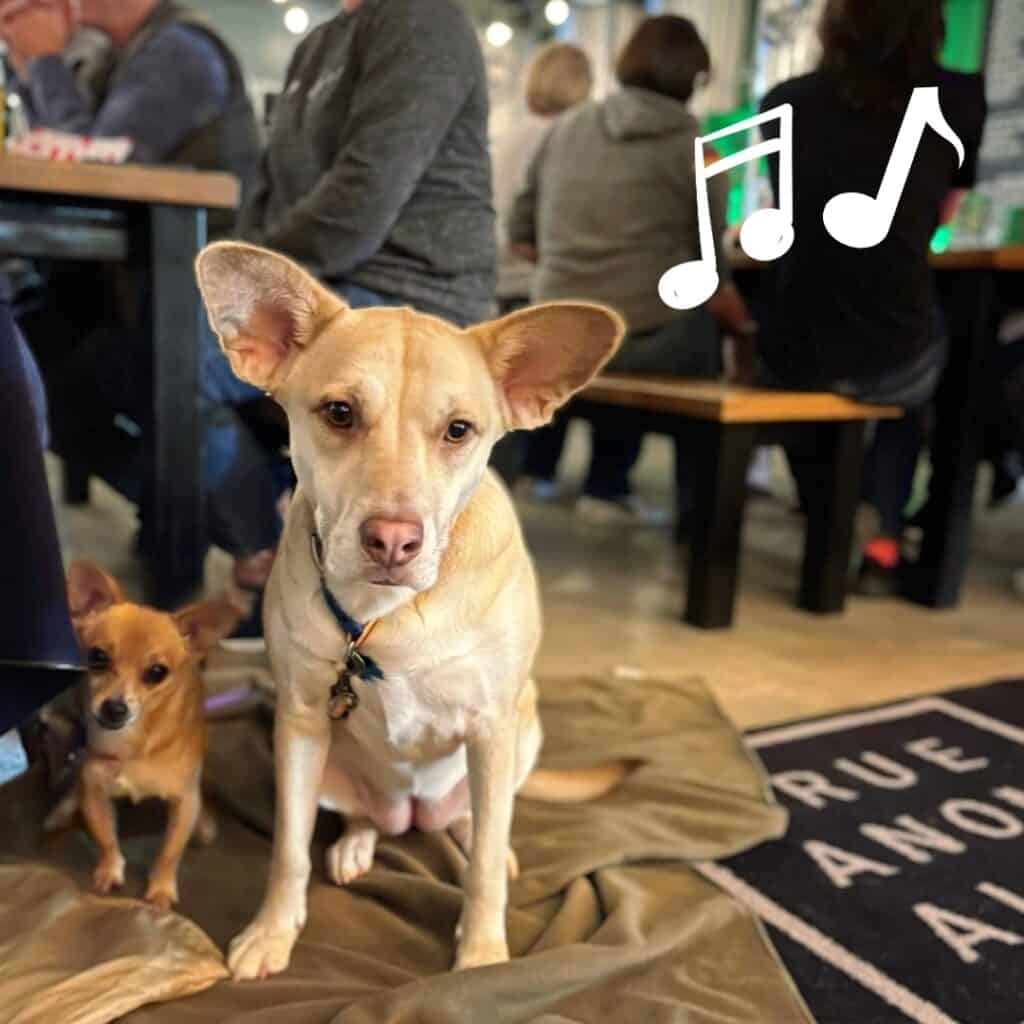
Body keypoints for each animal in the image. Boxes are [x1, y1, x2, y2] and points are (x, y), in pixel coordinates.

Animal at [48, 565, 241, 909]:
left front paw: (161, 889)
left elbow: (169, 852)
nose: (114, 707)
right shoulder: (95, 790)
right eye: (97, 656)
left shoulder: (183, 801)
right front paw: (110, 869)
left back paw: (205, 824)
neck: (133, 746)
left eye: (157, 672)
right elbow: (106, 838)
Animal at [192, 243, 622, 978]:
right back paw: (357, 844)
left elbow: (481, 869)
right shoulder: (298, 720)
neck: (386, 614)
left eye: (459, 430)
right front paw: (272, 931)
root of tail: (413, 815)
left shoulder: (491, 726)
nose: (392, 540)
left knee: (477, 824)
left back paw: (479, 837)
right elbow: (287, 849)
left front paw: (481, 954)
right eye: (339, 412)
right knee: (368, 818)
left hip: (524, 729)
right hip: (335, 772)